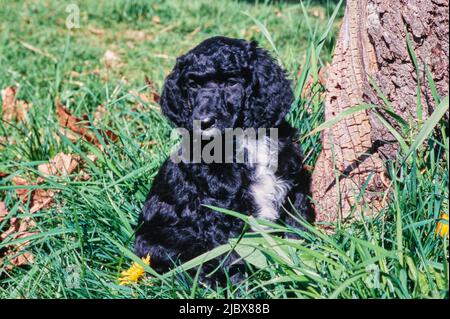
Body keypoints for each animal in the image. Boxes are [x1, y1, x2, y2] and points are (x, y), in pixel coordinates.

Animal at [133, 36, 312, 286]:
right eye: (193, 85)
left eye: (231, 82)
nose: (204, 121)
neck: (245, 139)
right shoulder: (218, 212)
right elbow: (233, 258)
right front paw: (245, 288)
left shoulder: (293, 189)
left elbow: (296, 231)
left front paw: (303, 272)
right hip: (160, 240)